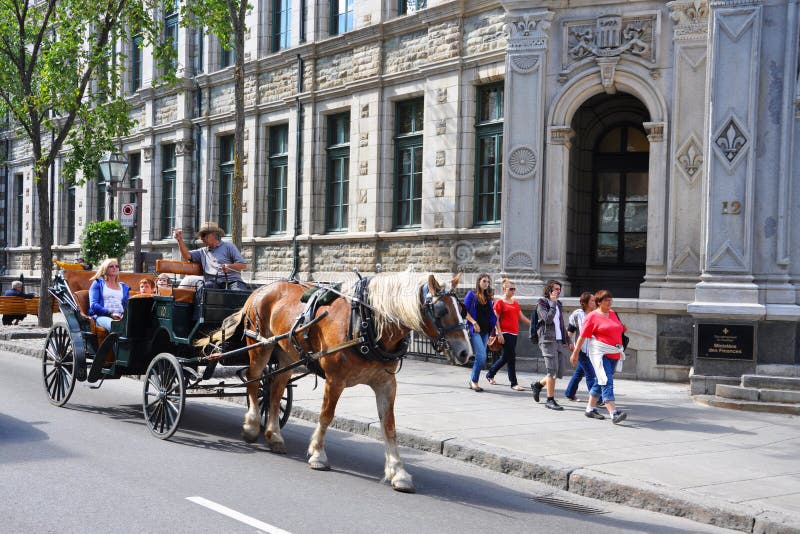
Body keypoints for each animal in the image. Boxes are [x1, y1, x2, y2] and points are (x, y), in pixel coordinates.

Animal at [205, 272, 476, 494]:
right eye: (441, 311)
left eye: (462, 309)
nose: (467, 353)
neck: (366, 321)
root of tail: (259, 291)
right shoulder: (335, 379)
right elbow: (326, 415)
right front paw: (318, 454)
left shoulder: (386, 384)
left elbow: (389, 427)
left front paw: (398, 472)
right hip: (260, 346)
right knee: (254, 383)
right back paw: (252, 426)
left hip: (286, 354)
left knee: (275, 389)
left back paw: (274, 436)